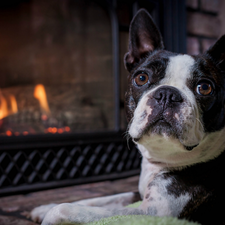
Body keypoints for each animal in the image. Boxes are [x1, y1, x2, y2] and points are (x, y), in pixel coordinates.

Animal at [30, 8, 225, 225]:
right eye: (141, 77)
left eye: (204, 87)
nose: (167, 93)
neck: (161, 159)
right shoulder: (136, 196)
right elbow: (97, 200)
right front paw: (44, 207)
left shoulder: (155, 213)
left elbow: (69, 209)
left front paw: (51, 213)